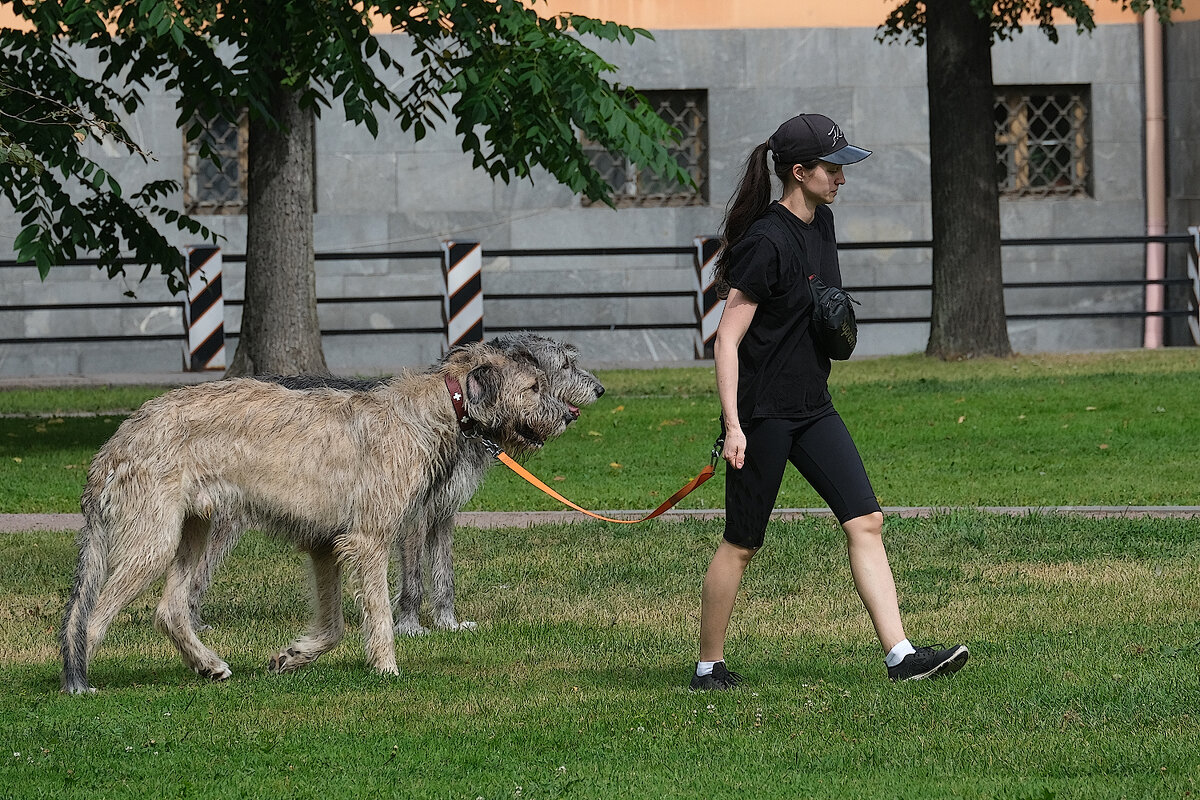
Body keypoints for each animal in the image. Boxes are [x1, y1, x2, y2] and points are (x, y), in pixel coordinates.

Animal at [59, 345, 576, 695]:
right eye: (533, 388)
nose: (569, 416)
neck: (434, 407)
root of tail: (117, 440)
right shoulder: (369, 538)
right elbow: (380, 612)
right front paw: (387, 668)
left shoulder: (325, 545)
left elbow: (334, 626)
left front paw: (294, 656)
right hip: (153, 538)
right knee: (93, 616)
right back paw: (79, 681)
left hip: (194, 529)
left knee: (169, 609)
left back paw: (208, 664)